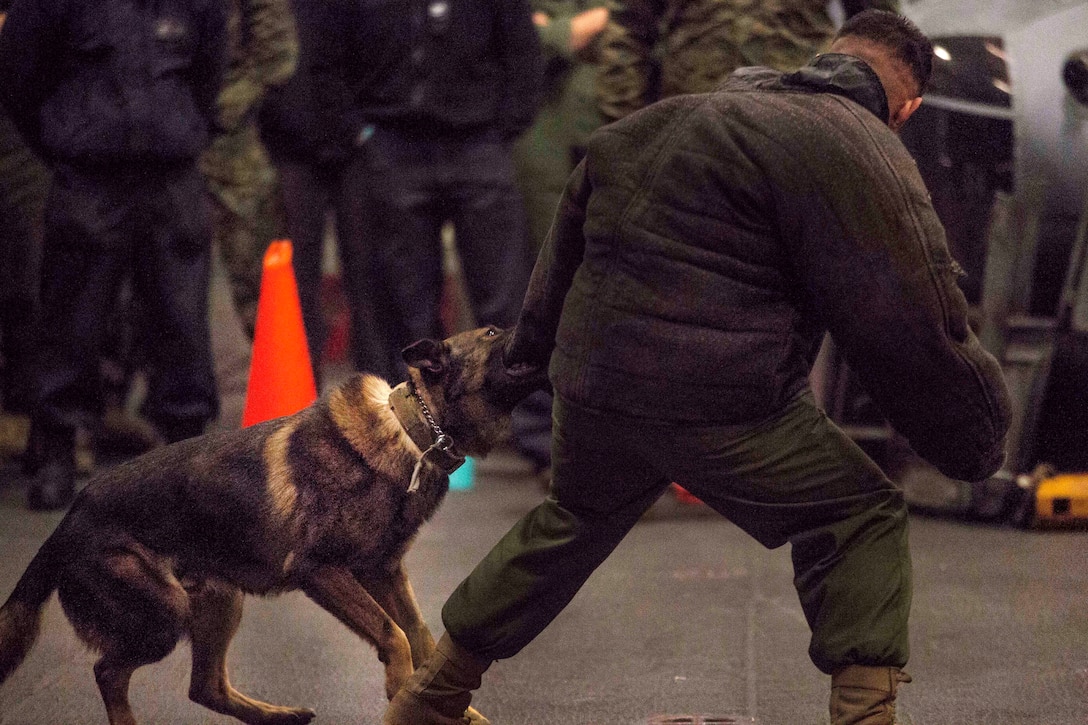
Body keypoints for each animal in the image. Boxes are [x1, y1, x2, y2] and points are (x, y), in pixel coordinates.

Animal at [0, 324, 544, 718]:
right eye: (492, 333)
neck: (413, 432)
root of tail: (71, 518)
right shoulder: (319, 570)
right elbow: (393, 634)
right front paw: (400, 688)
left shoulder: (384, 572)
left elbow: (422, 636)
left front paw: (442, 706)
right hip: (166, 613)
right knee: (109, 673)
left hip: (219, 600)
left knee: (206, 688)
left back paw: (281, 717)